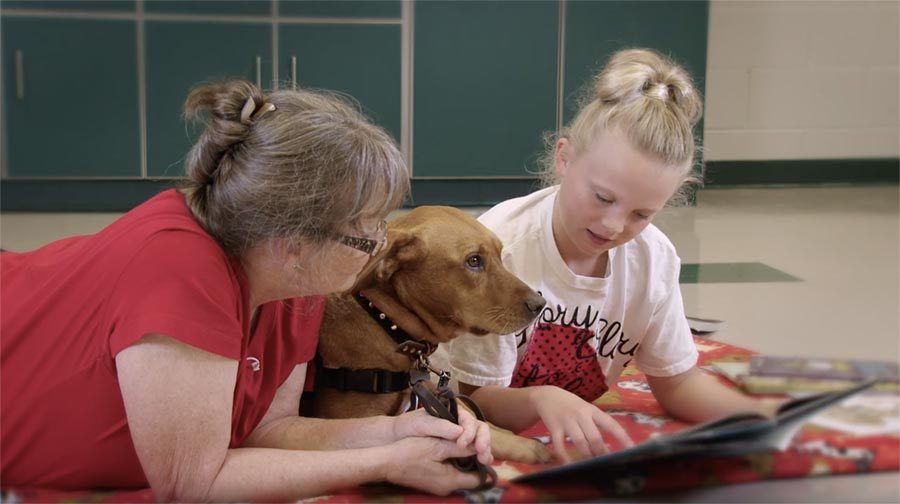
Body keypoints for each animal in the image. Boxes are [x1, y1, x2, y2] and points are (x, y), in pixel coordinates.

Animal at [311, 206, 553, 464]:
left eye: (500, 254)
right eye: (474, 260)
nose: (540, 304)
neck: (384, 320)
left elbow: (474, 413)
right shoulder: (354, 420)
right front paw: (530, 447)